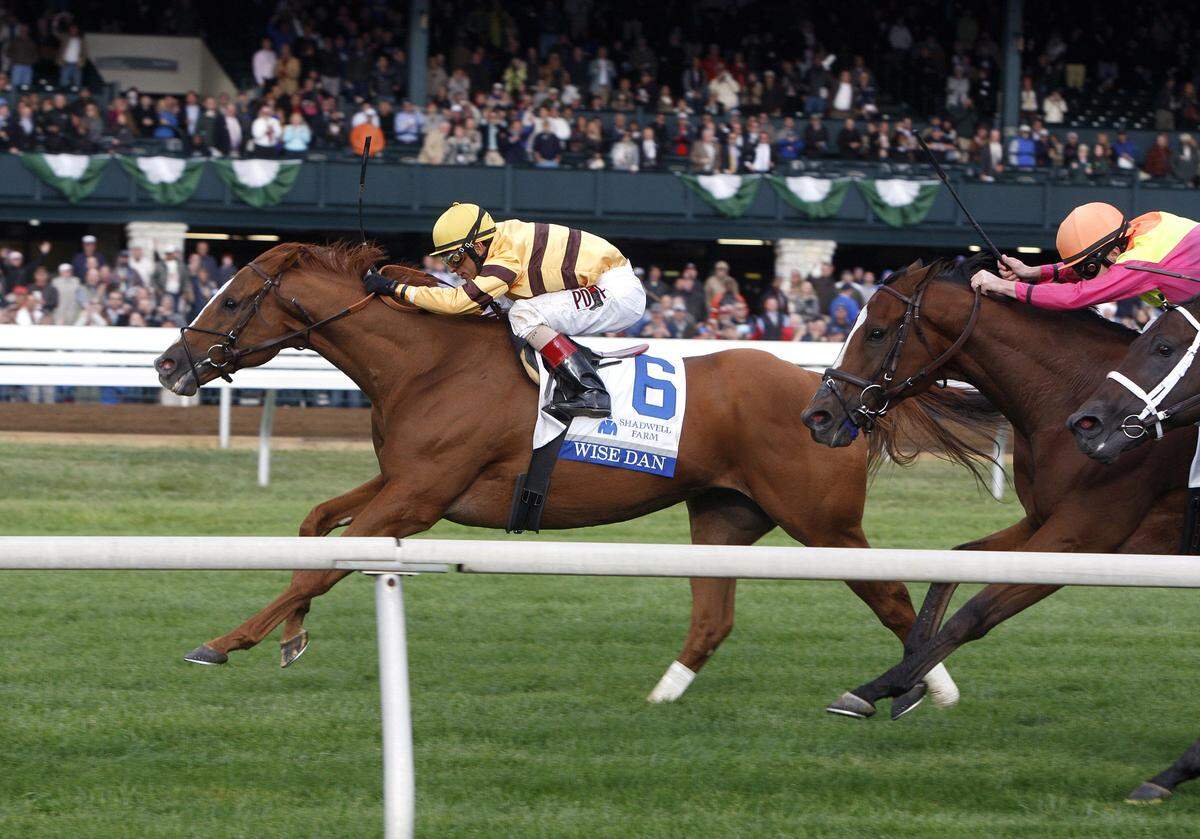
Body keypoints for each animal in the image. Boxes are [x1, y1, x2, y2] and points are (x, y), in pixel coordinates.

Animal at [151, 241, 967, 706]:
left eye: (231, 296)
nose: (168, 363)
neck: (430, 362)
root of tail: (836, 396)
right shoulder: (406, 480)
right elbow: (317, 524)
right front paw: (291, 636)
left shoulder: (421, 495)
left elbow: (318, 565)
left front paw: (224, 642)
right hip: (723, 513)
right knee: (714, 616)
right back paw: (660, 697)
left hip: (823, 520)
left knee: (893, 595)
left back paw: (927, 689)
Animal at [799, 256, 1195, 800]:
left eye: (877, 331)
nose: (816, 415)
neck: (1071, 398)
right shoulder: (1042, 519)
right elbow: (956, 560)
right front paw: (912, 679)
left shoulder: (1084, 533)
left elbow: (977, 612)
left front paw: (884, 686)